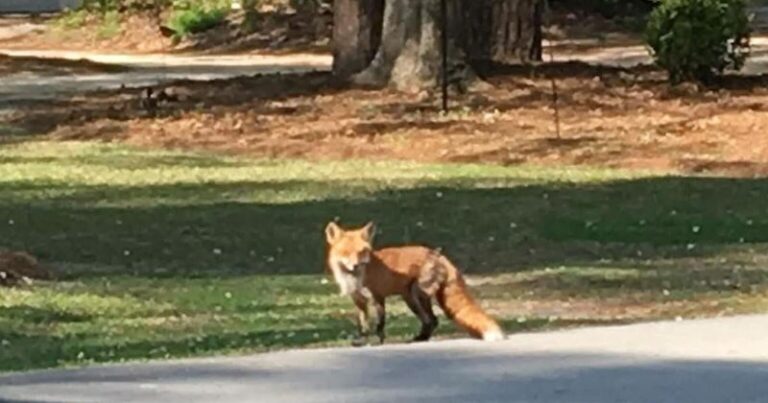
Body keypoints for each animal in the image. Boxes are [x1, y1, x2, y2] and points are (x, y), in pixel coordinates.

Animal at [324, 221, 505, 345]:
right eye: (345, 252)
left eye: (362, 252)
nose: (356, 265)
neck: (354, 277)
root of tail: (439, 255)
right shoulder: (359, 300)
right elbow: (363, 325)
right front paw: (361, 341)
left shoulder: (377, 296)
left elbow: (380, 325)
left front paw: (378, 342)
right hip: (410, 299)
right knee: (430, 321)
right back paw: (421, 338)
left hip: (417, 294)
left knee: (432, 320)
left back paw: (419, 339)